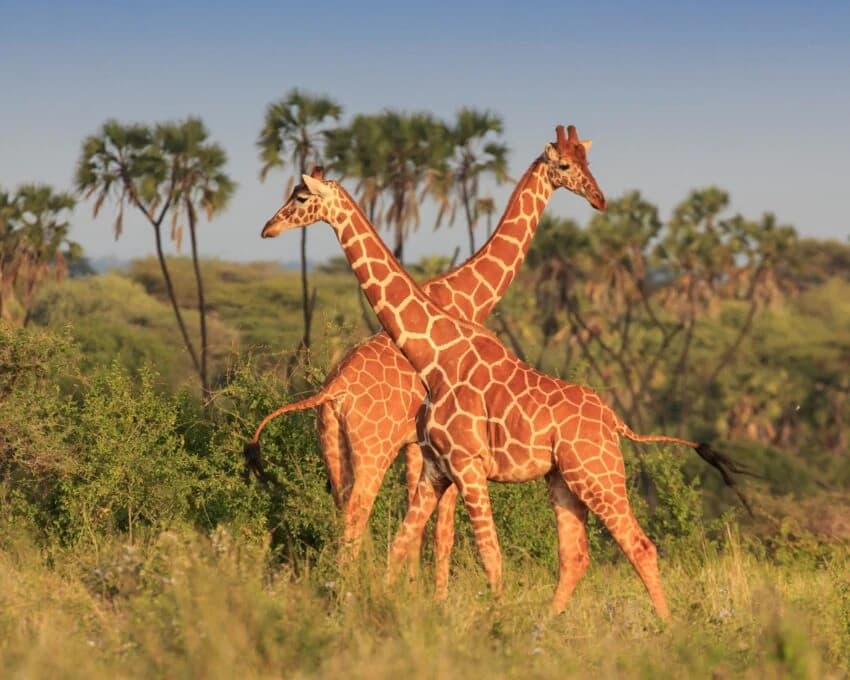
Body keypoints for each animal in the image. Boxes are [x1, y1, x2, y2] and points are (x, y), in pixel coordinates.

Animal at [246, 125, 605, 596]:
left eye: (586, 161)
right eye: (565, 164)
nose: (599, 198)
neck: (464, 297)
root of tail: (334, 389)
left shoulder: (417, 447)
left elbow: (417, 524)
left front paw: (413, 589)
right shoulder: (433, 446)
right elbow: (442, 529)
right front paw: (435, 596)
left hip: (332, 445)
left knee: (342, 511)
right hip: (372, 448)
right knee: (356, 516)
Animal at [259, 168, 750, 620]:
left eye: (300, 196)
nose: (268, 228)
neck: (434, 355)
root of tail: (615, 421)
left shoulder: (466, 465)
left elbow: (485, 554)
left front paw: (492, 624)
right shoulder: (437, 466)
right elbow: (403, 543)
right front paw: (386, 605)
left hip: (595, 474)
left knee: (640, 545)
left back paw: (666, 630)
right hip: (562, 480)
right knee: (576, 555)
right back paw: (547, 627)